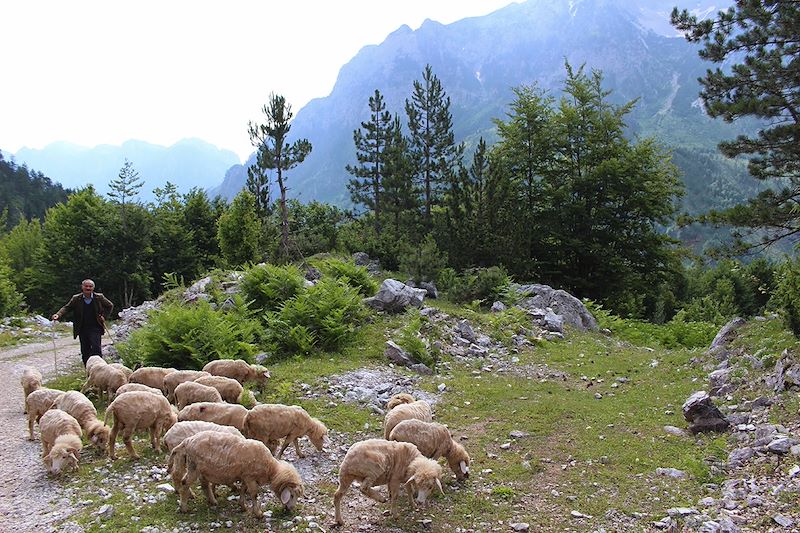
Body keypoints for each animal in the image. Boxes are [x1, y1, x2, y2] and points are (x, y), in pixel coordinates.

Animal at [169, 432, 304, 516]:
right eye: (292, 495)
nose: (291, 509)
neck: (270, 468)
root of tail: (186, 441)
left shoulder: (245, 476)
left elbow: (243, 490)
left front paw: (242, 506)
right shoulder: (250, 477)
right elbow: (254, 494)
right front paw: (258, 513)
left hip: (201, 469)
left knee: (204, 485)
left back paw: (212, 501)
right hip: (194, 467)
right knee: (185, 483)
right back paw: (184, 508)